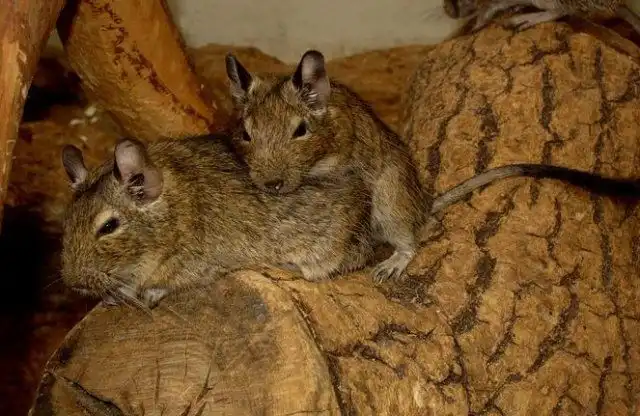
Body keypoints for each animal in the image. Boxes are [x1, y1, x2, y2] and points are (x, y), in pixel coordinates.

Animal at [223, 49, 640, 284]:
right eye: (245, 133)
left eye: (300, 131)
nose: (272, 185)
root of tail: (423, 205)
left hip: (389, 202)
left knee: (409, 241)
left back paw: (389, 266)